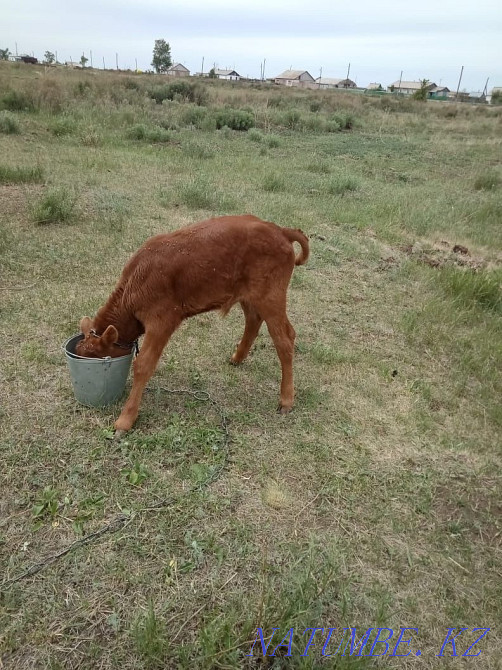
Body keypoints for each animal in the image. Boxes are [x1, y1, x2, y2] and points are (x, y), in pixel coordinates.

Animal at [76, 214, 309, 434]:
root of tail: (279, 229)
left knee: (285, 338)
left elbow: (143, 365)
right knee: (253, 320)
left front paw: (125, 420)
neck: (136, 283)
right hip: (249, 295)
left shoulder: (162, 320)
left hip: (271, 297)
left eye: (95, 356)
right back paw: (237, 357)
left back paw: (286, 399)